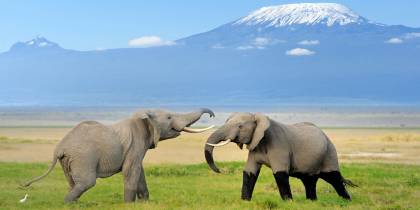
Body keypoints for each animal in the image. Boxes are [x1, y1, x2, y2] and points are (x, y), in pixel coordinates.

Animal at [21, 107, 215, 203]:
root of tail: (59, 148)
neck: (143, 116)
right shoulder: (135, 144)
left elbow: (139, 172)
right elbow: (131, 171)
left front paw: (144, 203)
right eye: (168, 118)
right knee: (86, 183)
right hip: (83, 157)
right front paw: (129, 204)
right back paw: (68, 203)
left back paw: (73, 204)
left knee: (73, 182)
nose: (212, 115)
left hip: (69, 160)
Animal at [205, 112, 356, 201]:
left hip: (329, 153)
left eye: (240, 126)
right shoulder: (255, 146)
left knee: (334, 178)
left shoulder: (279, 146)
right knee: (309, 181)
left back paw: (346, 200)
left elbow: (280, 173)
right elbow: (249, 172)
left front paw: (288, 202)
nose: (219, 170)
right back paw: (312, 201)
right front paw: (245, 201)